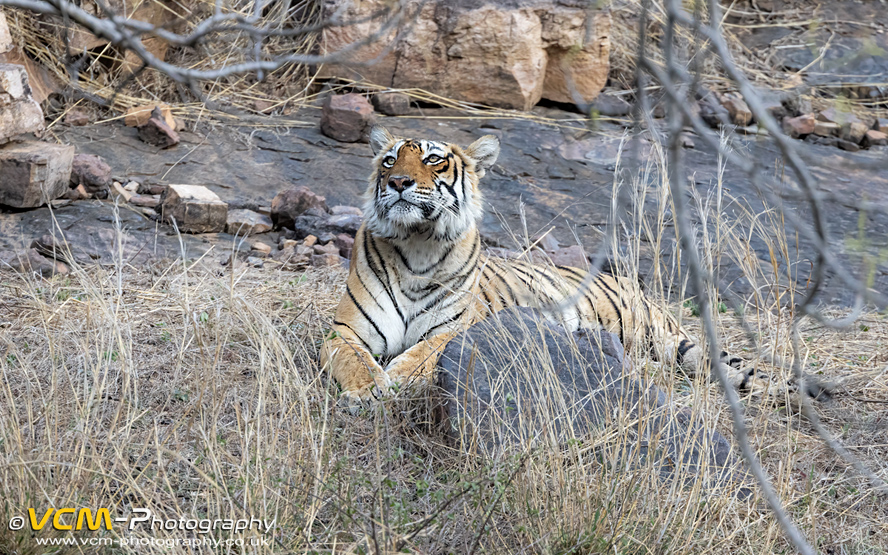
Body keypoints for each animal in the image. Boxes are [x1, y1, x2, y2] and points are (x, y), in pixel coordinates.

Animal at [320, 125, 824, 404]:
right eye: (389, 160)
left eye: (433, 159)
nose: (398, 182)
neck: (417, 245)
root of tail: (631, 284)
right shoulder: (345, 331)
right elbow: (354, 359)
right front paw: (367, 389)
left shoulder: (453, 329)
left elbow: (420, 355)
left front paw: (394, 379)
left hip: (658, 336)